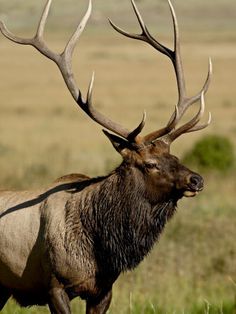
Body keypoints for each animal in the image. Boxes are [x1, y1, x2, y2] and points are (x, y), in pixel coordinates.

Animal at [0, 0, 211, 314]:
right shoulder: (54, 285)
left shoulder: (104, 289)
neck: (99, 248)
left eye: (174, 157)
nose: (196, 180)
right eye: (150, 164)